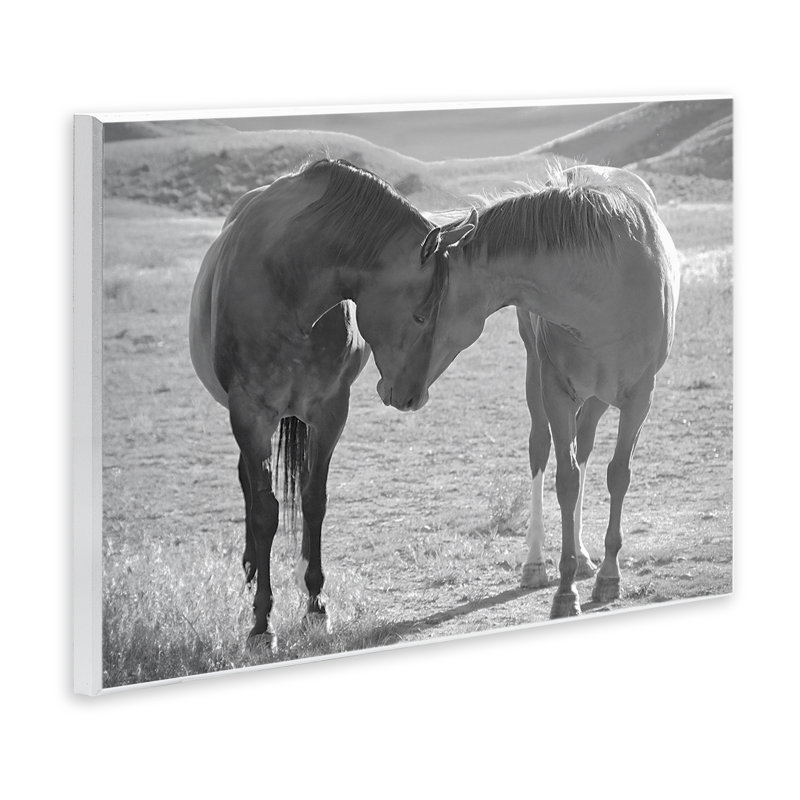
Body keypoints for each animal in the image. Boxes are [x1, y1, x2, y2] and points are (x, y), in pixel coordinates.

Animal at [189, 158, 474, 650]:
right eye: (421, 315)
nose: (412, 397)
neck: (287, 282)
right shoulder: (249, 414)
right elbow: (265, 512)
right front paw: (262, 622)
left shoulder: (329, 411)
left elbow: (313, 500)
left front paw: (316, 604)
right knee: (248, 483)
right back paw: (251, 567)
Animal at [400, 165, 680, 619]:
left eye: (420, 314)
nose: (396, 390)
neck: (606, 283)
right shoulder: (555, 390)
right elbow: (564, 480)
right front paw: (565, 590)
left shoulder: (640, 397)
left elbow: (617, 474)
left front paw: (608, 575)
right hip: (538, 375)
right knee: (541, 449)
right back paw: (535, 563)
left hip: (598, 396)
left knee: (584, 449)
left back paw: (584, 557)